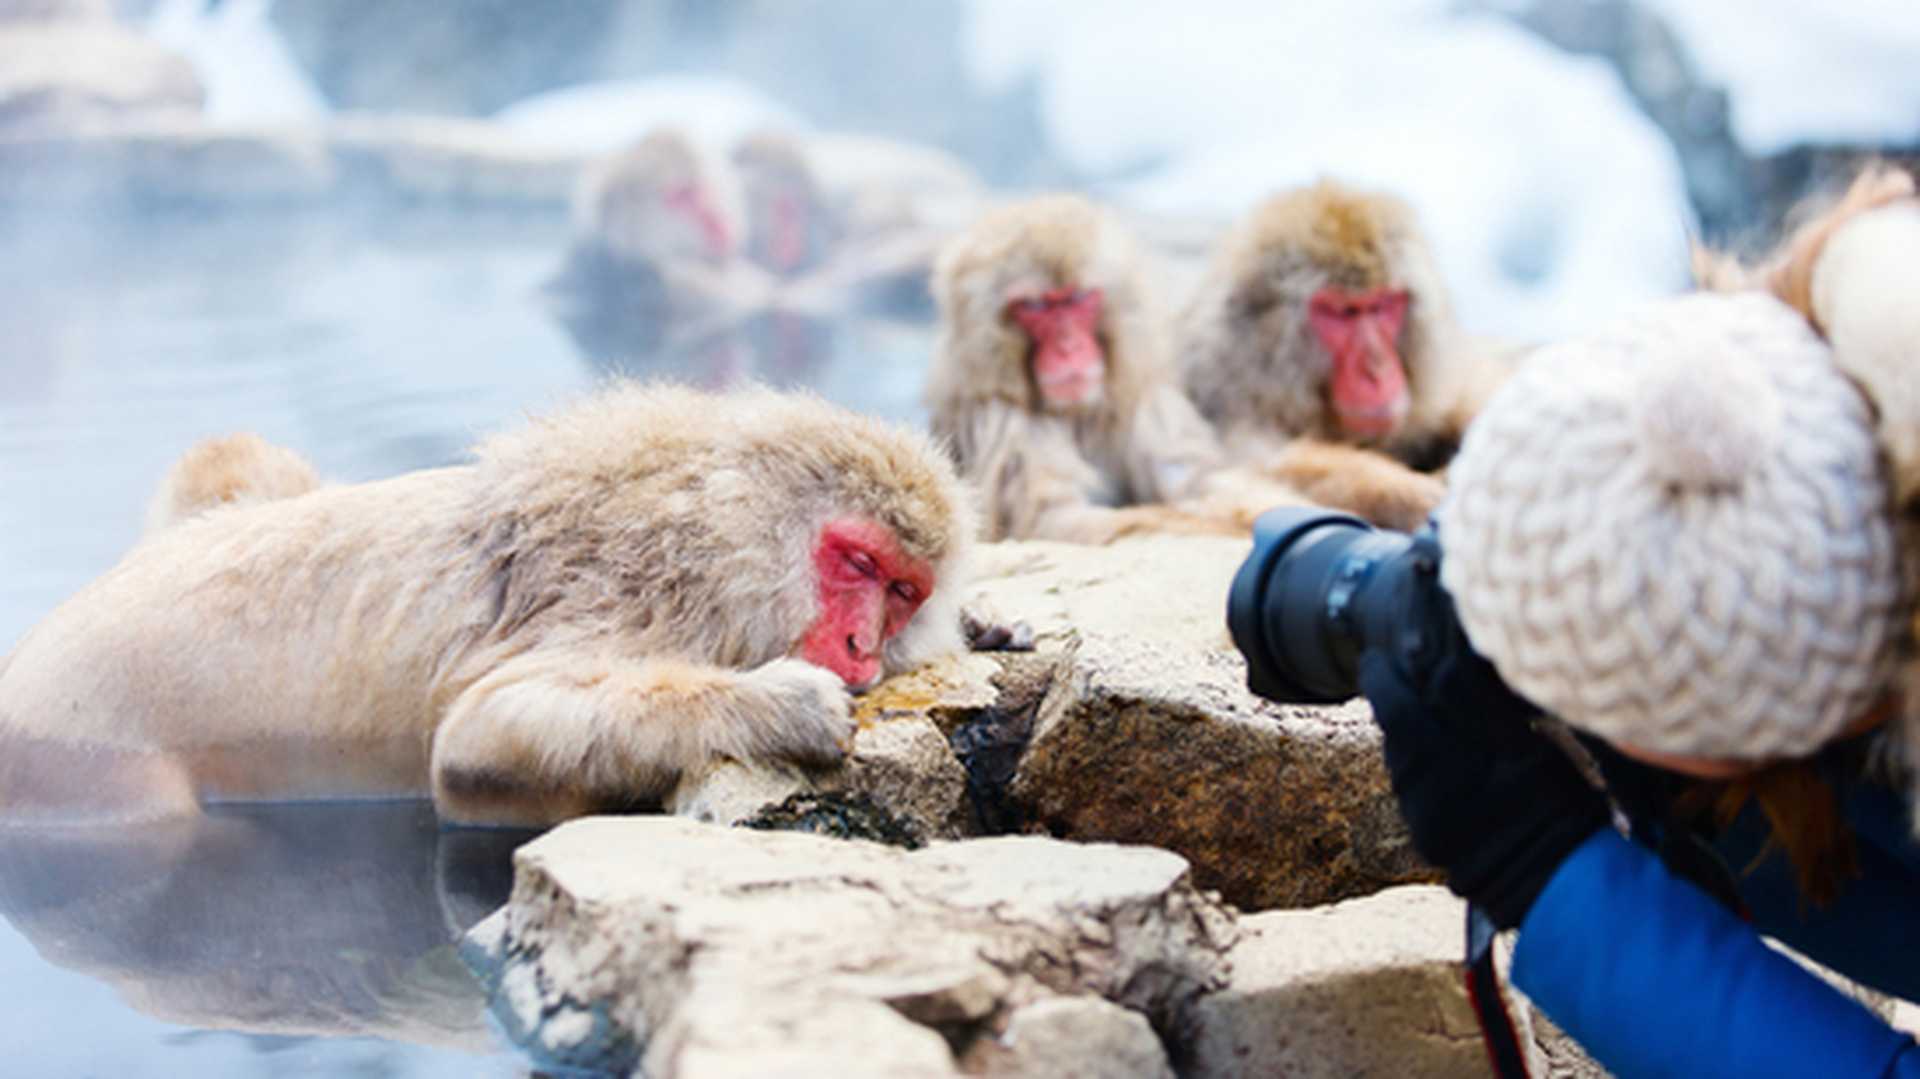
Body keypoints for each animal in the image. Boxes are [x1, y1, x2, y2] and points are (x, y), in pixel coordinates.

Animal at [925, 193, 1309, 544]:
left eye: (1079, 298)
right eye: (1034, 306)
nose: (1069, 346)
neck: (1076, 415)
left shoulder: (1144, 400)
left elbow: (1197, 478)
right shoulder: (1001, 420)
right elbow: (1054, 519)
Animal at [1177, 179, 1517, 531]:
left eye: (1381, 305)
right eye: (1343, 312)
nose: (1376, 367)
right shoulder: (1225, 408)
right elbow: (1246, 472)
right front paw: (1409, 495)